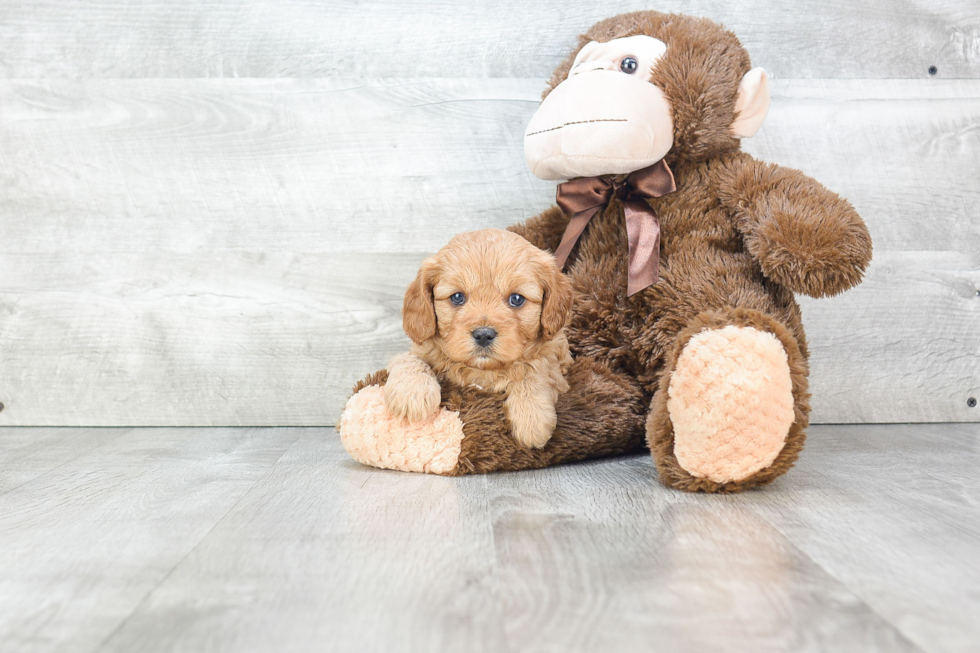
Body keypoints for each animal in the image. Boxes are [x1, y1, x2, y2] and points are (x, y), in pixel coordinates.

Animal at [382, 229, 576, 448]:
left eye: (516, 299)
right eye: (457, 297)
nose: (483, 334)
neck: (483, 370)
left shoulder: (557, 364)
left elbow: (535, 371)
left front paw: (531, 418)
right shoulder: (420, 349)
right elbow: (408, 359)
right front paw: (411, 394)